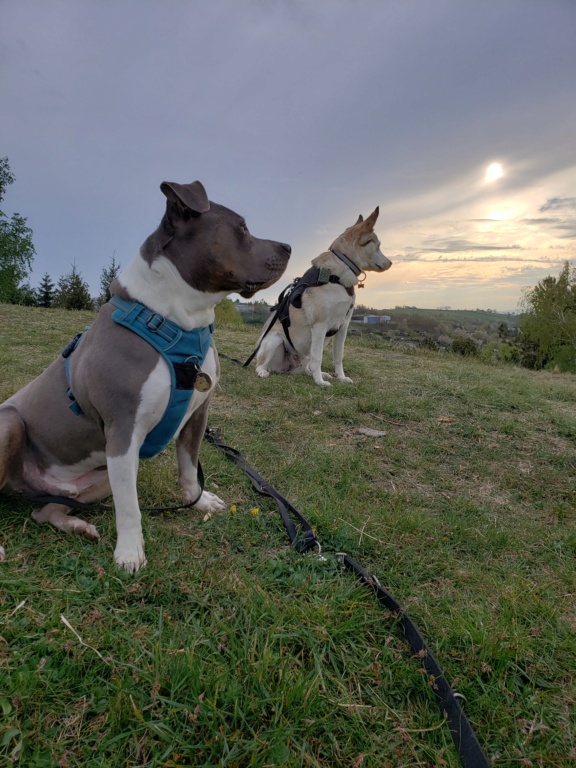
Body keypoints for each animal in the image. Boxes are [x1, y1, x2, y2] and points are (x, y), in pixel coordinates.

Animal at [0, 180, 290, 568]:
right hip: (12, 425)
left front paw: (198, 501)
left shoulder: (196, 414)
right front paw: (129, 552)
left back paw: (77, 525)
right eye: (241, 228)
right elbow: (130, 507)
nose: (288, 248)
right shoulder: (123, 432)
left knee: (43, 512)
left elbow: (188, 467)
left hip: (93, 479)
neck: (176, 320)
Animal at [255, 207, 392, 388]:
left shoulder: (343, 326)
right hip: (274, 340)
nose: (390, 263)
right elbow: (318, 358)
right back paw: (263, 371)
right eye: (378, 245)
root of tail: (288, 368)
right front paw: (319, 382)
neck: (339, 275)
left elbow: (338, 357)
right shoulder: (320, 325)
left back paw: (318, 374)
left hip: (307, 352)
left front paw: (341, 377)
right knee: (260, 364)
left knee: (307, 367)